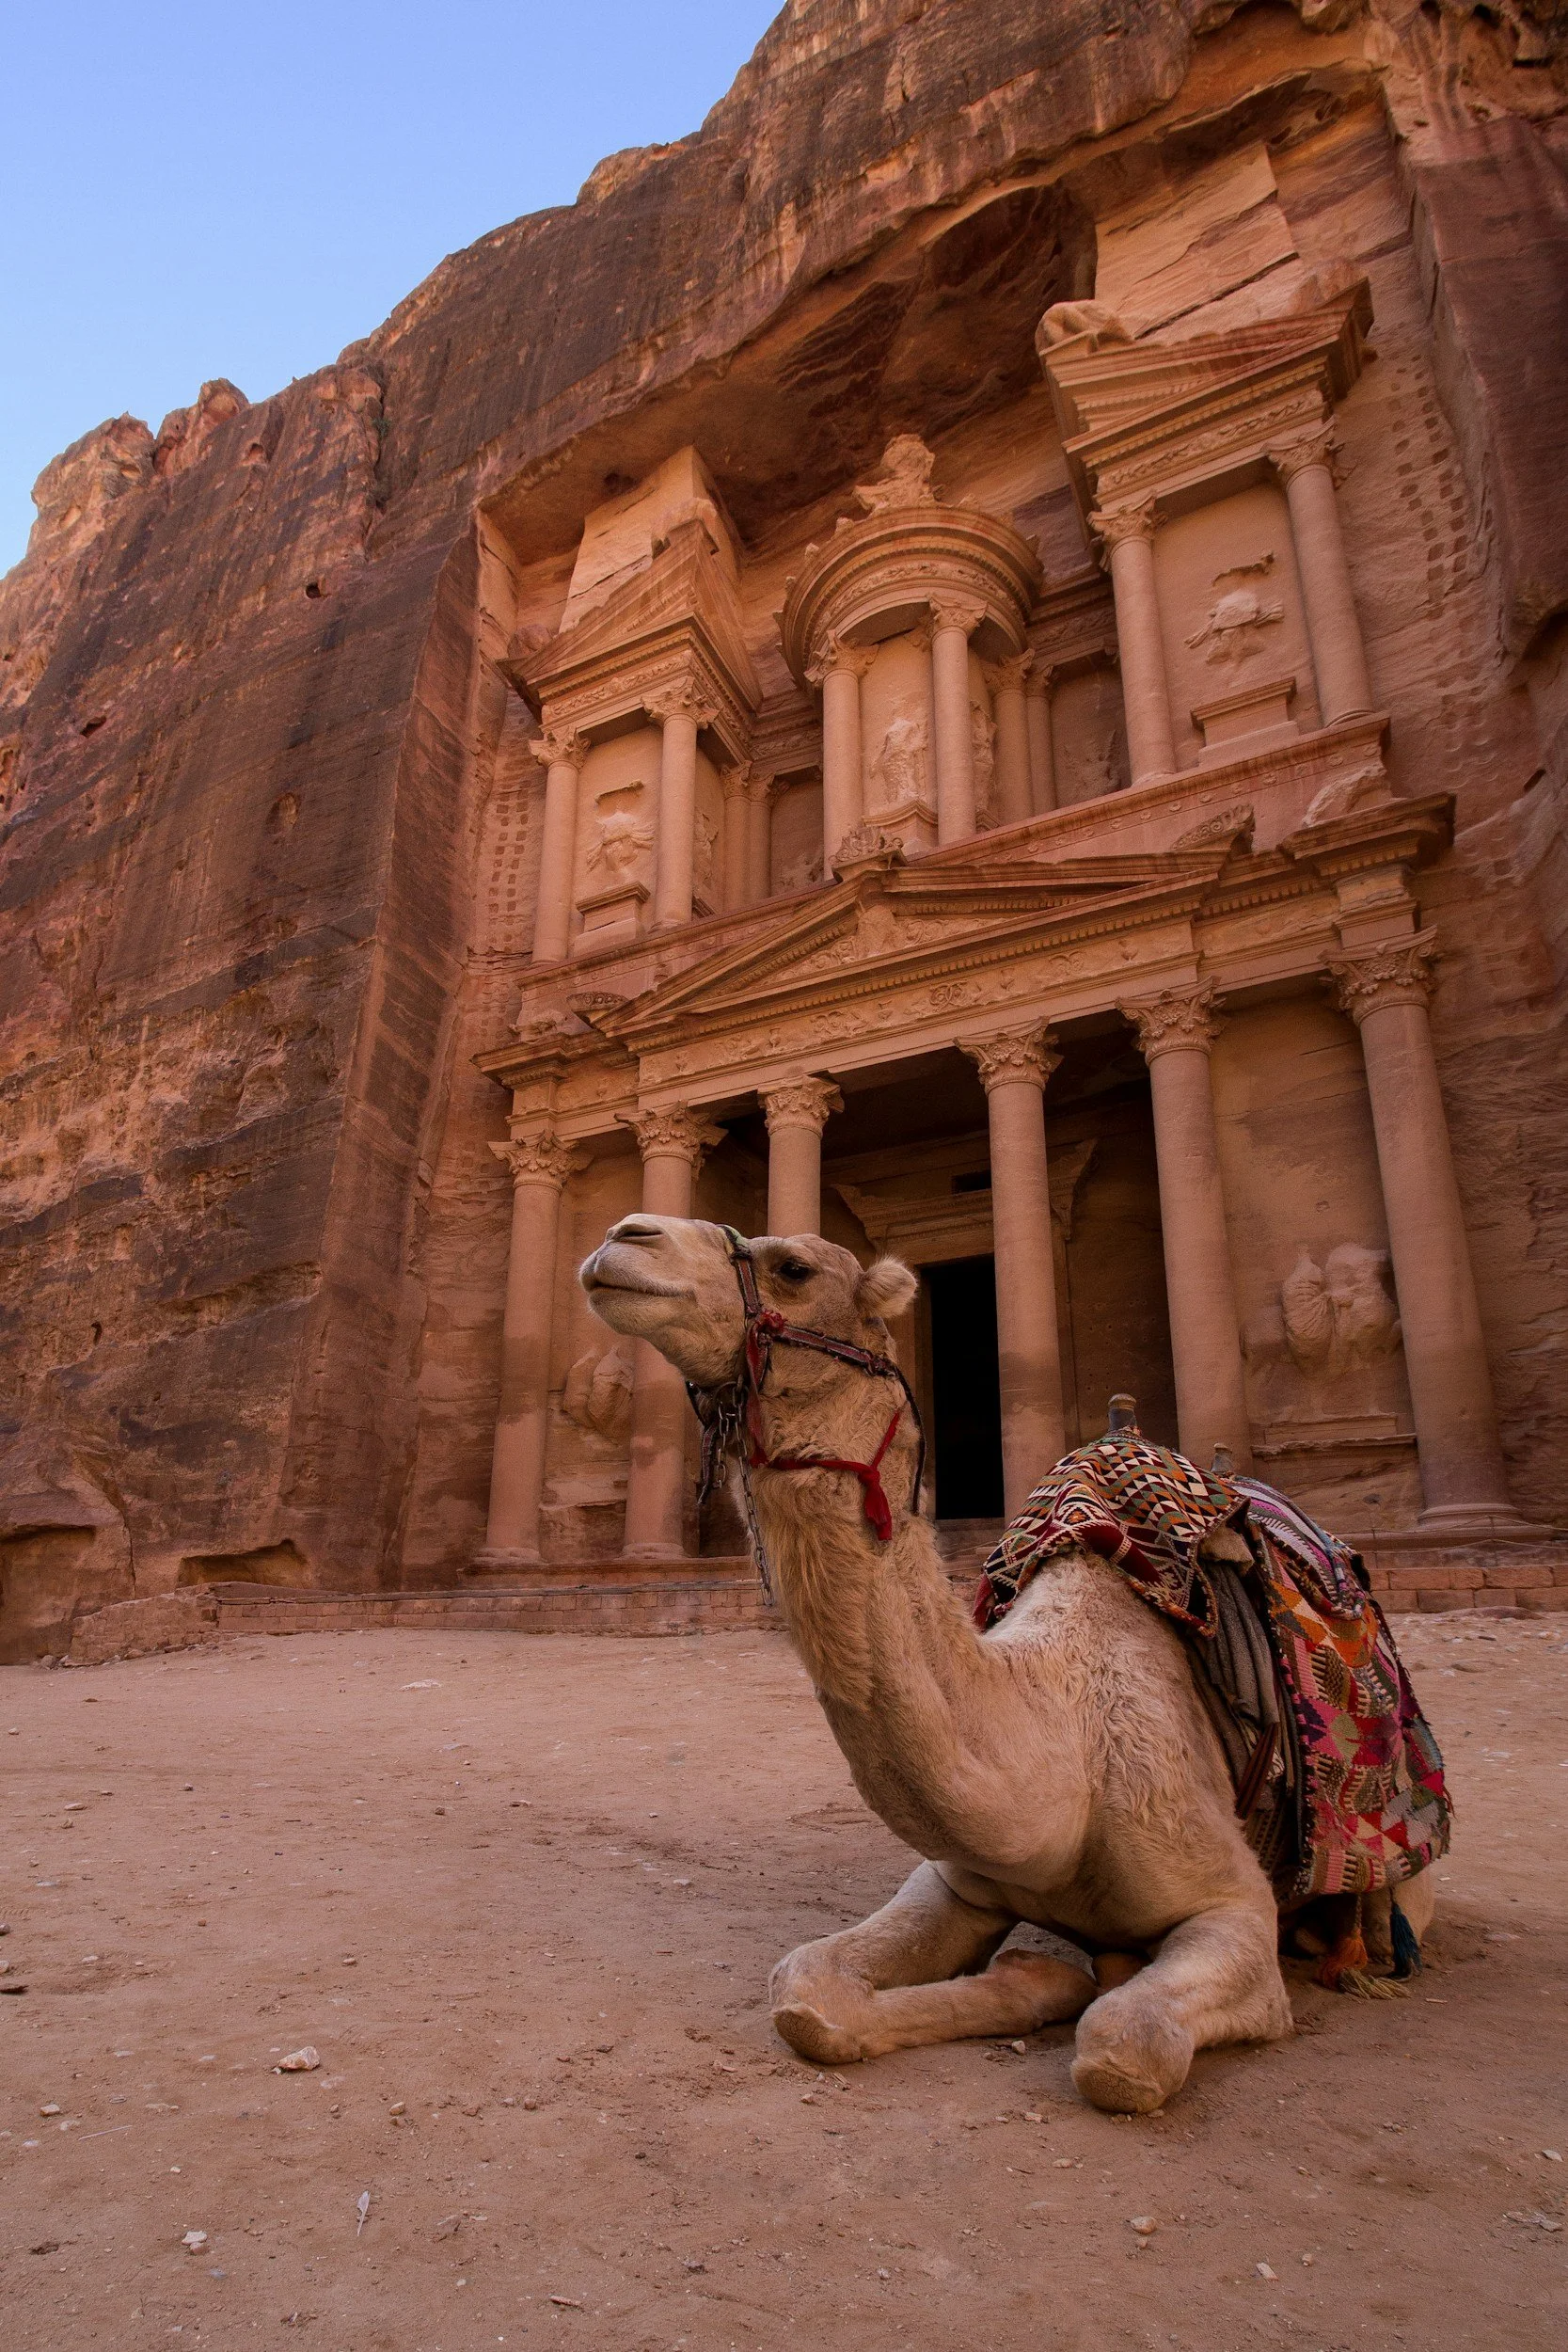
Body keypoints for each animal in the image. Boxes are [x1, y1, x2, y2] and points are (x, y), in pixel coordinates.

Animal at [580, 1215, 1434, 2113]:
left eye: (794, 1267)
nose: (624, 1236)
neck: (1065, 1760)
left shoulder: (1231, 1905)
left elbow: (1123, 2045)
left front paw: (1082, 1989)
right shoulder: (955, 1880)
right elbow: (805, 1991)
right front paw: (1038, 1976)